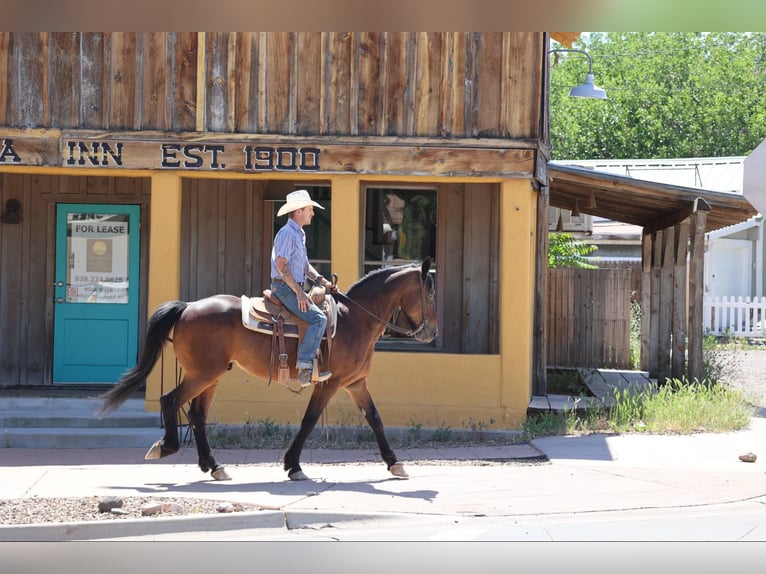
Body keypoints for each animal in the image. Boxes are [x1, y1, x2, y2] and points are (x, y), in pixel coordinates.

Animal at [98, 258, 437, 481]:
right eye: (429, 292)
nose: (431, 332)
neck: (353, 319)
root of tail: (188, 307)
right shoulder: (329, 384)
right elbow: (310, 420)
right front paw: (293, 465)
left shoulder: (356, 384)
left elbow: (375, 419)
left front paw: (394, 463)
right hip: (202, 375)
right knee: (170, 400)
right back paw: (167, 446)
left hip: (210, 376)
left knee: (196, 414)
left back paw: (213, 465)